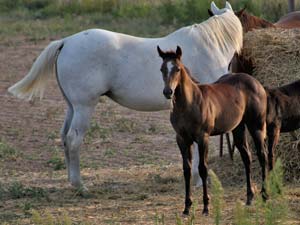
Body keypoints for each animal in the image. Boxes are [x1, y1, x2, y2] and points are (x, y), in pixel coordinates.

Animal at [8, 1, 241, 190]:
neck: (208, 46)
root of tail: (66, 42)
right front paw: (201, 179)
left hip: (72, 106)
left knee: (65, 137)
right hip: (84, 107)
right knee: (74, 139)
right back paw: (80, 185)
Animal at [157, 45, 268, 214]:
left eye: (177, 69)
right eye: (162, 69)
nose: (168, 92)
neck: (188, 104)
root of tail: (255, 81)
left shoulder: (203, 138)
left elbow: (203, 168)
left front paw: (206, 206)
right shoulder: (182, 139)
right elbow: (186, 170)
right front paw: (187, 207)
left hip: (256, 126)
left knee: (262, 155)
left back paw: (265, 195)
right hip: (238, 128)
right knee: (247, 157)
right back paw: (249, 197)